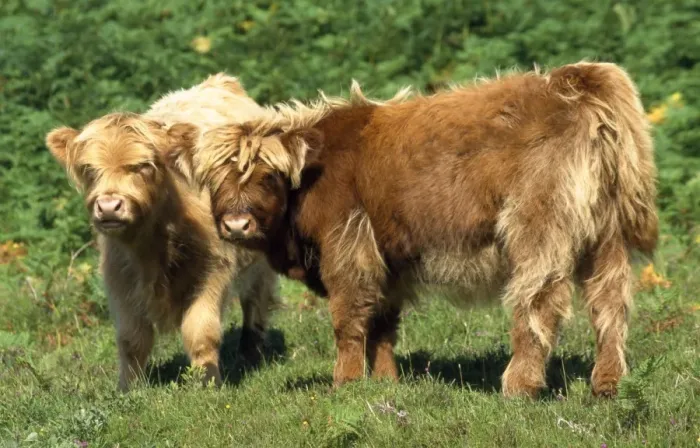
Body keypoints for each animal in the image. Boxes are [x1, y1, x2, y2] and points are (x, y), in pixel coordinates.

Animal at [45, 74, 280, 391]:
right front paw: (129, 389)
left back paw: (250, 351)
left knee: (256, 299)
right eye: (89, 169)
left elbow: (201, 332)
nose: (108, 206)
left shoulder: (213, 271)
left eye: (144, 165)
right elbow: (131, 339)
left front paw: (208, 382)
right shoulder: (119, 278)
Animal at [178, 62, 658, 398]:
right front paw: (385, 383)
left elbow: (347, 319)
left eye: (268, 177)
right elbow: (382, 323)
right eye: (214, 180)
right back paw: (607, 385)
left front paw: (344, 384)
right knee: (609, 304)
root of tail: (574, 81)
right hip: (606, 236)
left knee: (538, 303)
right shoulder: (385, 257)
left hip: (540, 227)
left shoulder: (347, 248)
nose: (235, 223)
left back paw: (519, 386)